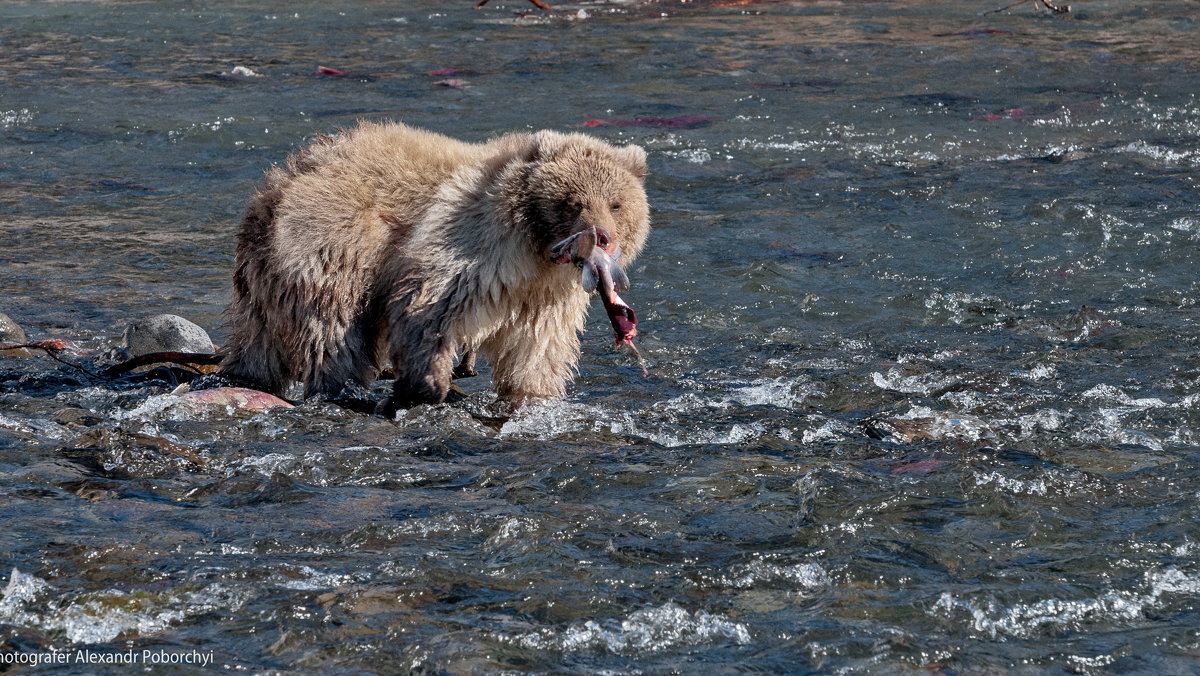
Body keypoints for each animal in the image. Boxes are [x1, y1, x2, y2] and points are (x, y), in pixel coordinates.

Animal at [216, 121, 648, 413]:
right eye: (572, 202)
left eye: (615, 203)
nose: (601, 237)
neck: (536, 253)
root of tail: (277, 184)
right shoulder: (471, 241)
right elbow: (430, 303)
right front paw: (423, 386)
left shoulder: (546, 295)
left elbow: (537, 347)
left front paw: (533, 396)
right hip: (331, 240)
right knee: (334, 329)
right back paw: (342, 387)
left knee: (261, 337)